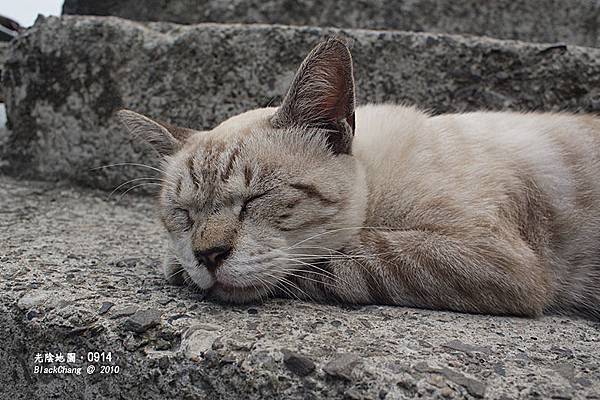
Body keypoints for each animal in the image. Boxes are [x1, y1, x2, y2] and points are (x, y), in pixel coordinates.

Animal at [118, 37, 600, 318]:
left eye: (255, 200)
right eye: (183, 214)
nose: (207, 256)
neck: (373, 172)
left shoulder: (494, 260)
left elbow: (344, 257)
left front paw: (177, 268)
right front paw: (181, 263)